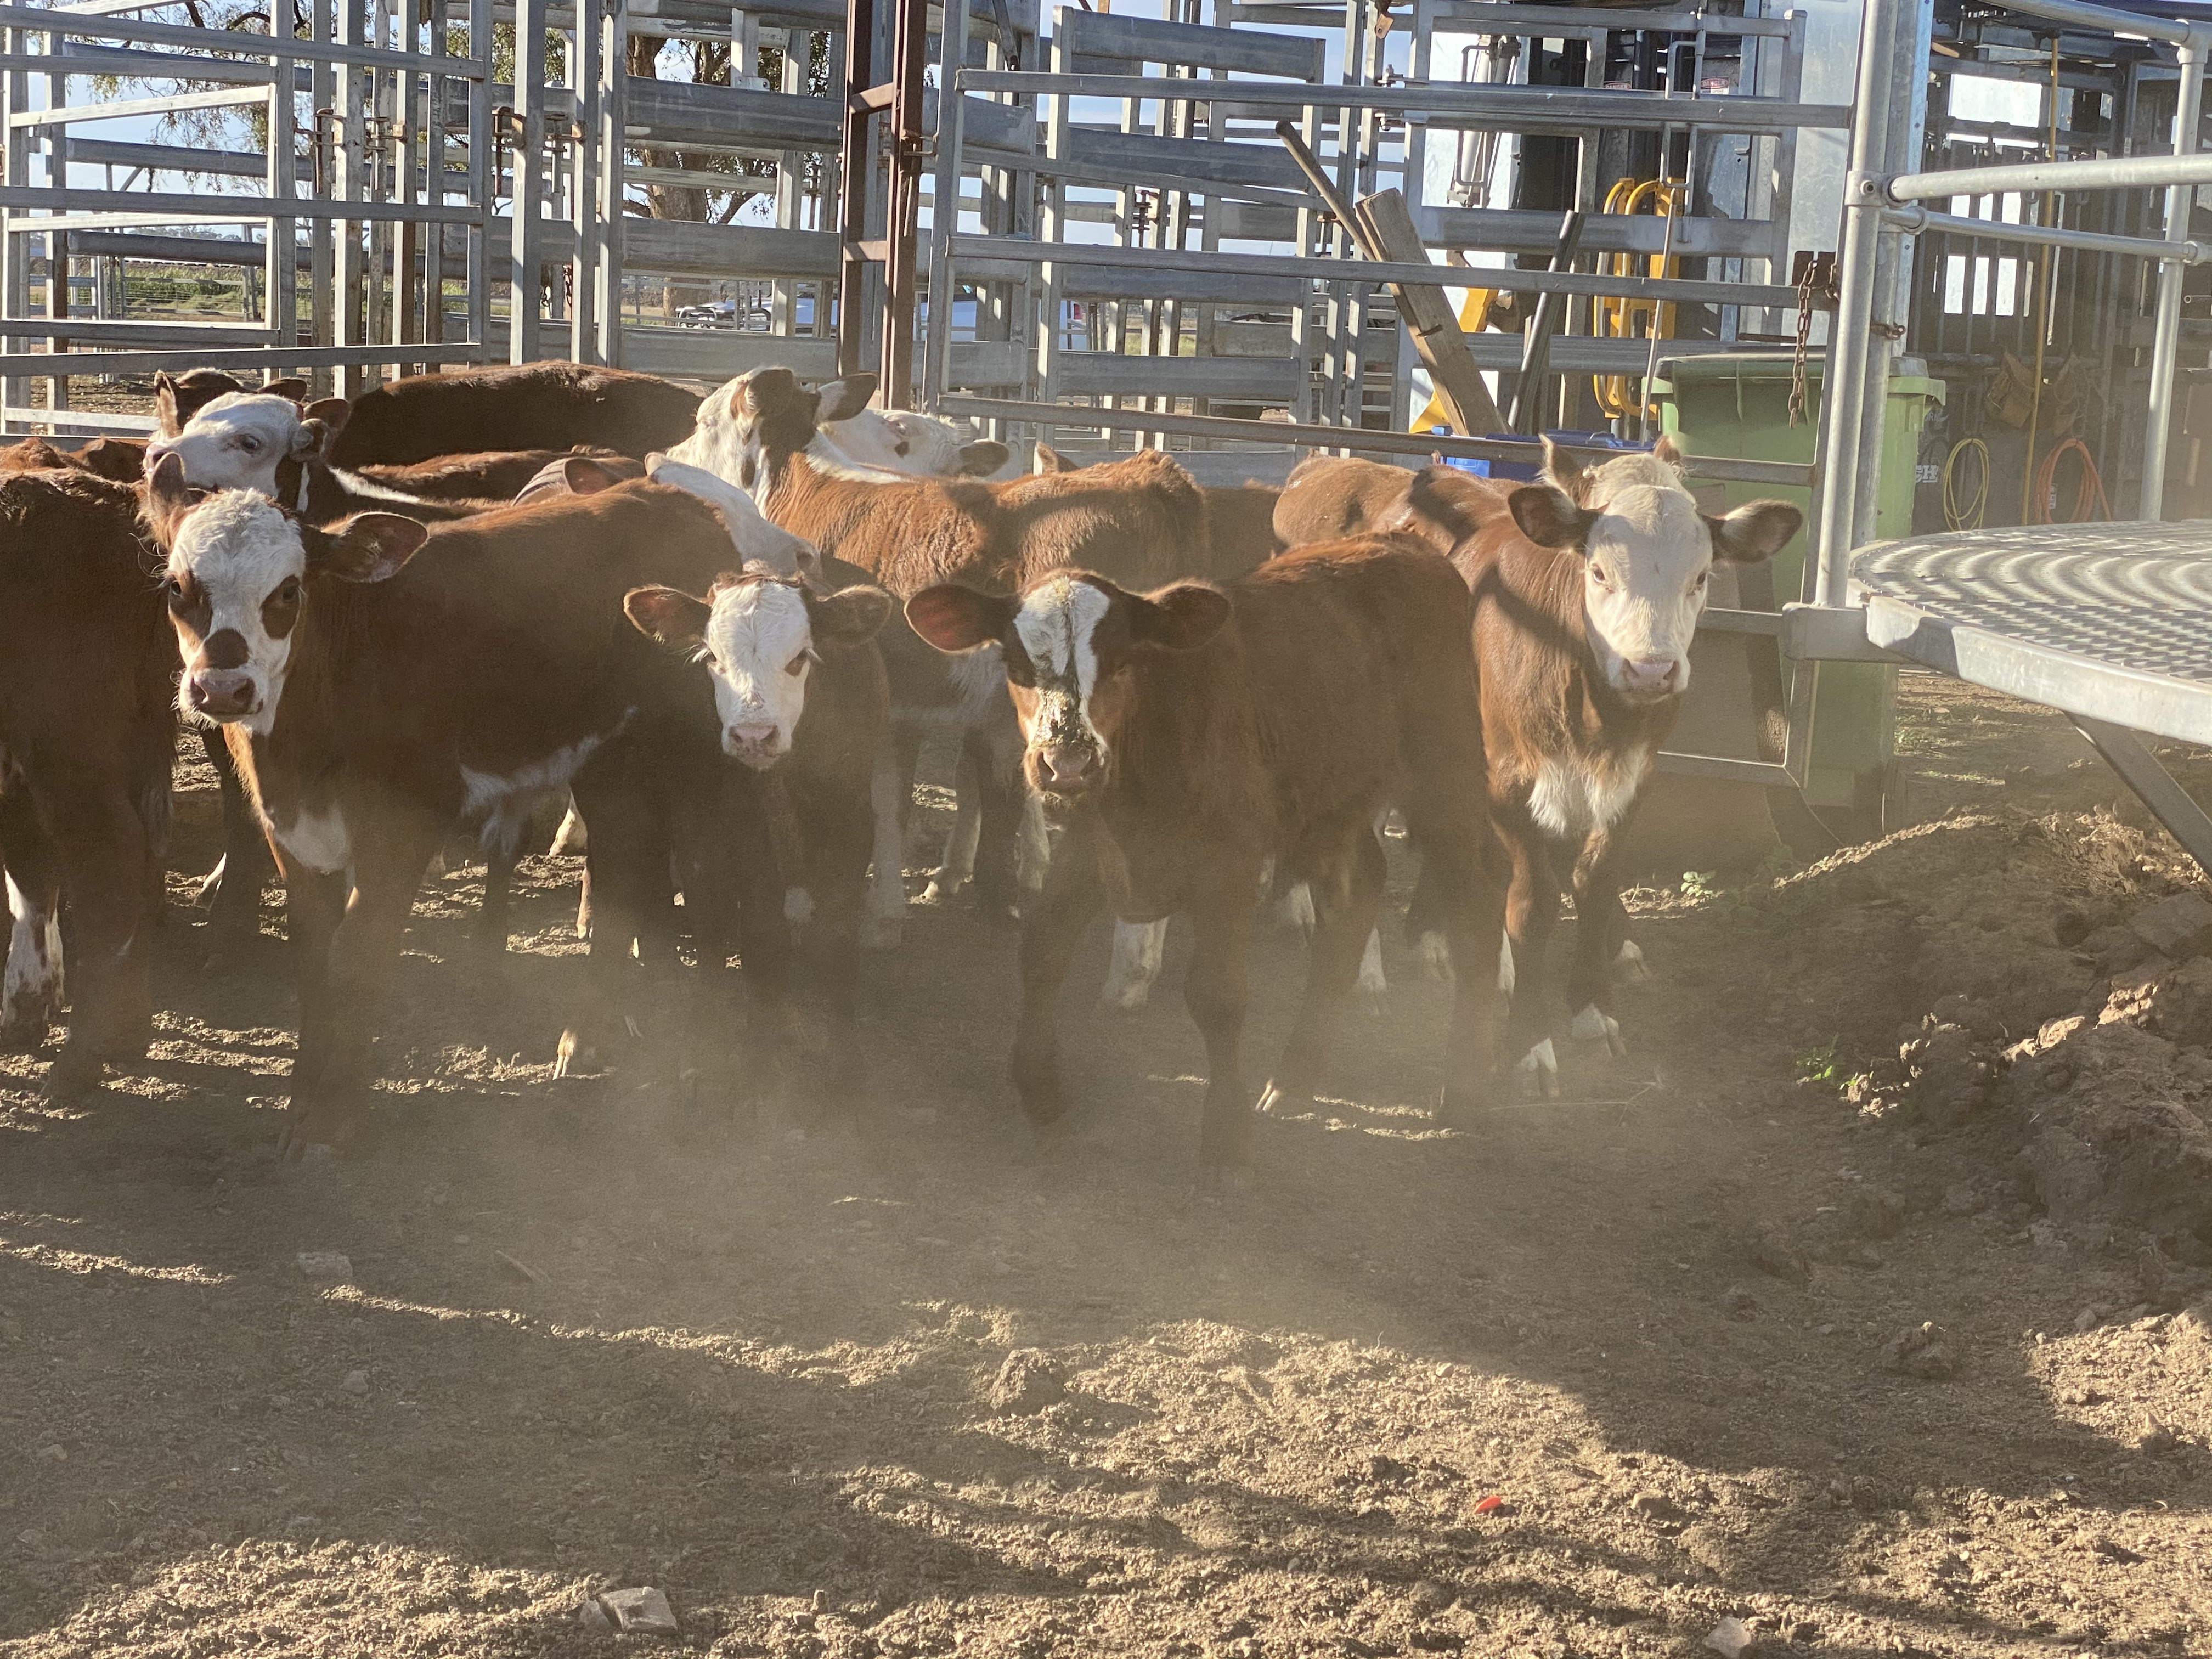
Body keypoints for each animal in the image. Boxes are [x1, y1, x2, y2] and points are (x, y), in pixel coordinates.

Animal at [140, 455, 758, 1151]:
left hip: (700, 762)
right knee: (623, 868)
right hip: (609, 763)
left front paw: (336, 1112)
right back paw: (585, 1039)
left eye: (289, 592)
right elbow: (314, 957)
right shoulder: (289, 827)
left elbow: (359, 955)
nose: (223, 689)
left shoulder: (406, 820)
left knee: (709, 887)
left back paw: (711, 1067)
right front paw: (301, 1102)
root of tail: (677, 503)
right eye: (176, 588)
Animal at [622, 567, 892, 1120]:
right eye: (711, 658)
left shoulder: (852, 831)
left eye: (800, 657)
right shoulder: (716, 842)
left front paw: (845, 1074)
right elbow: (741, 947)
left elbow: (836, 946)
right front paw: (733, 1065)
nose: (753, 735)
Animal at [905, 538, 1505, 1181]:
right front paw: (1040, 1087)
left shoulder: (1228, 865)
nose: (1067, 762)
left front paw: (1226, 1138)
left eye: (1123, 662)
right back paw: (1297, 1075)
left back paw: (1464, 1089)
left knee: (1480, 896)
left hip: (1446, 774)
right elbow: (1043, 953)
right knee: (1357, 892)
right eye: (1017, 668)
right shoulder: (1091, 846)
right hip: (1333, 802)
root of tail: (1405, 546)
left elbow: (1218, 997)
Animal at [1442, 437, 1800, 1094]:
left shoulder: (1635, 779)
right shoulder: (1505, 782)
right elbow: (1533, 902)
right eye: (1598, 571)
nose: (1651, 670)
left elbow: (1596, 880)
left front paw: (1591, 1005)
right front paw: (1529, 1041)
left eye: (1701, 577)